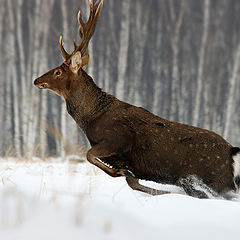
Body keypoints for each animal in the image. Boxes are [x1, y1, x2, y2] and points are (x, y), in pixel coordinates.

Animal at [34, 0, 240, 199]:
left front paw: (119, 172)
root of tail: (232, 153)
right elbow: (134, 183)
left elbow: (90, 155)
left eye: (58, 72)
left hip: (205, 178)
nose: (37, 80)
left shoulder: (118, 139)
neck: (91, 118)